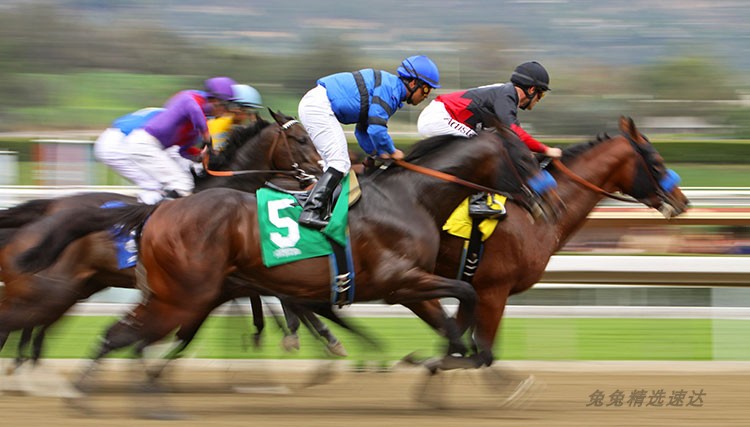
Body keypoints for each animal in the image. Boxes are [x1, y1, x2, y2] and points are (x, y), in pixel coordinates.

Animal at [0, 109, 340, 364]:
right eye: (301, 138)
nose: (320, 171)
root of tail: (50, 206)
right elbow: (280, 298)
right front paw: (313, 334)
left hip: (78, 285)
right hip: (51, 285)